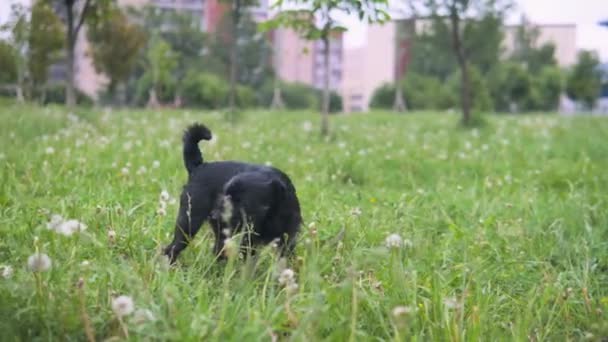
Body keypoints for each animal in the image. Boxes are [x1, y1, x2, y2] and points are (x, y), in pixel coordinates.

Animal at [164, 124, 302, 264]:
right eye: (224, 195)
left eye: (241, 201)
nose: (214, 215)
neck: (270, 215)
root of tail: (199, 167)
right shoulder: (247, 242)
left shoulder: (287, 240)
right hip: (188, 224)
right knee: (172, 248)